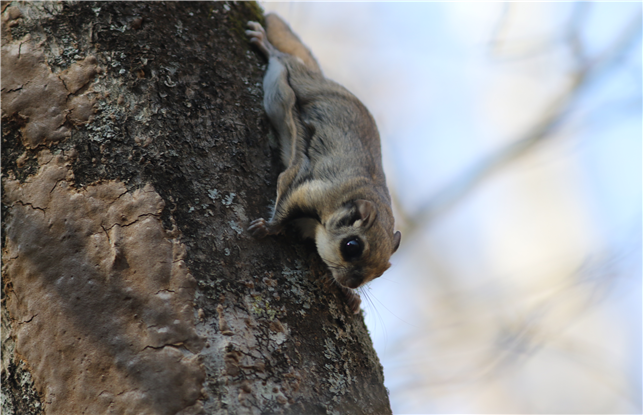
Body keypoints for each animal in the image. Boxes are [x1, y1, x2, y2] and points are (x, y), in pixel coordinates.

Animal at [247, 14, 402, 316]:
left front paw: (350, 297)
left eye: (383, 271)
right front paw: (269, 228)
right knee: (284, 60)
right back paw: (266, 43)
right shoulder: (309, 188)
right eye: (352, 246)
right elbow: (284, 202)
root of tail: (320, 78)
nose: (352, 283)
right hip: (285, 88)